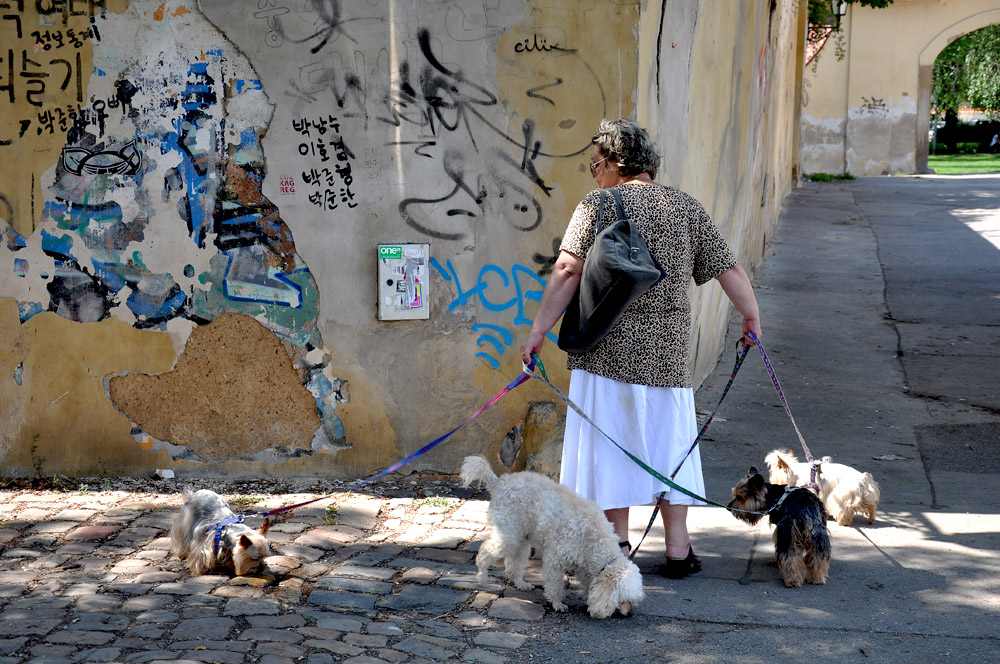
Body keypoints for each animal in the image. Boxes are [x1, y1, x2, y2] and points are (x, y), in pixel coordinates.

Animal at [458, 454, 644, 620]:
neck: (595, 540)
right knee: (485, 552)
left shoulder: (584, 565)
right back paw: (482, 577)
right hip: (509, 534)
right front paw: (557, 603)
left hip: (522, 538)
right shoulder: (555, 558)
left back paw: (520, 583)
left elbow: (587, 581)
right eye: (624, 600)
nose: (630, 613)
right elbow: (554, 584)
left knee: (513, 563)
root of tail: (499, 482)